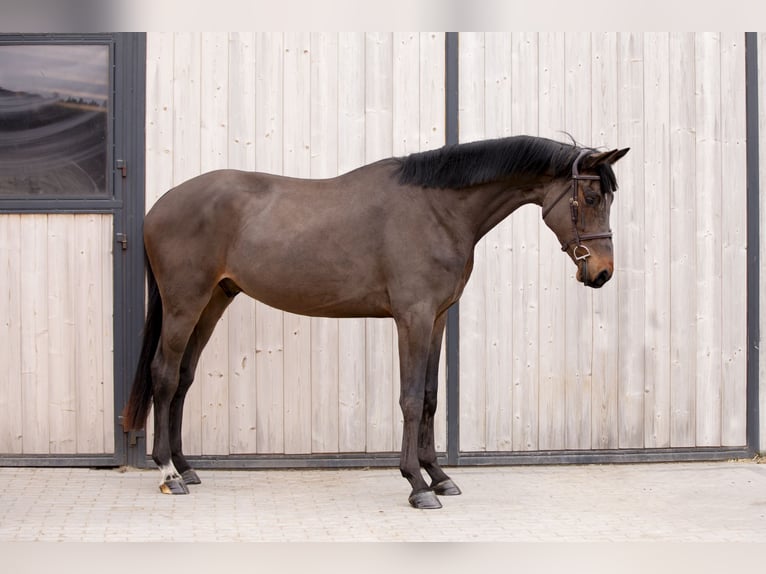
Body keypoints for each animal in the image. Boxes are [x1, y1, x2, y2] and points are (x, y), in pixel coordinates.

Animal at [122, 135, 629, 509]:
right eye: (590, 195)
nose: (603, 272)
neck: (439, 210)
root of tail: (160, 204)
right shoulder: (413, 317)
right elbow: (410, 399)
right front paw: (417, 485)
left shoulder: (437, 317)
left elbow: (430, 398)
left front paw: (440, 476)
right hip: (185, 302)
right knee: (165, 376)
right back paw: (168, 472)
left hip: (214, 300)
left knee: (183, 379)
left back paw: (187, 467)